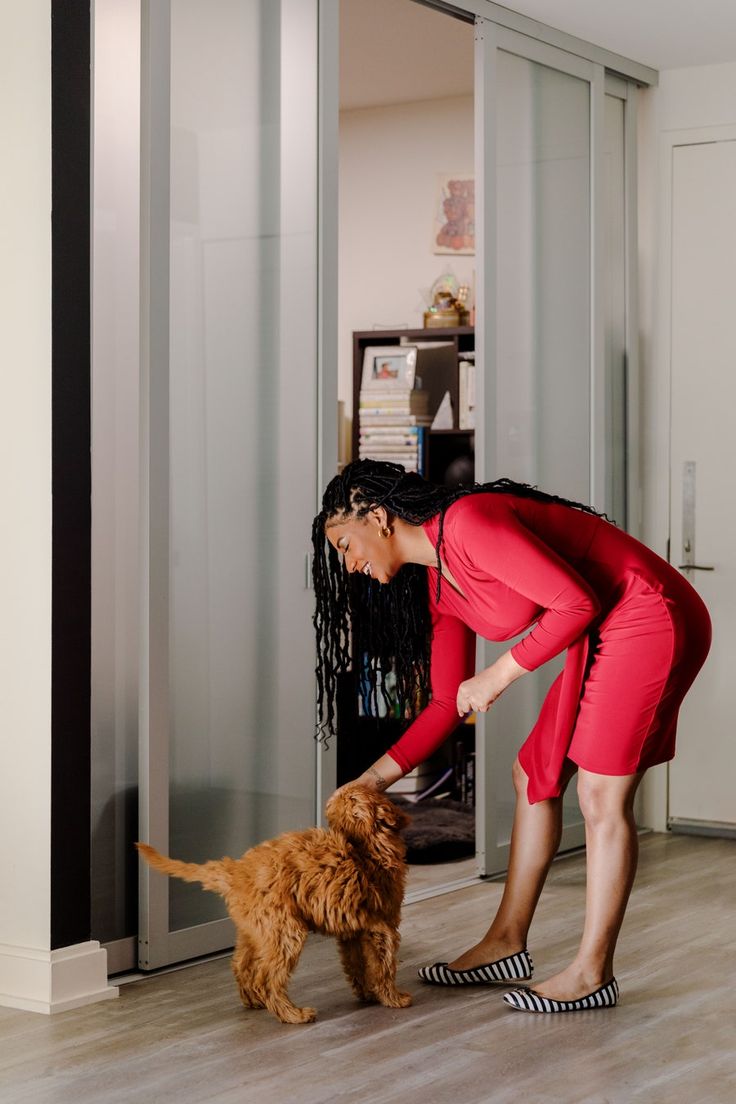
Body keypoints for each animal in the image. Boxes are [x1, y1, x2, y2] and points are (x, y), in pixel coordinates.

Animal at [136, 786, 414, 1024]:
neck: (364, 847)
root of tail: (237, 871)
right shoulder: (383, 928)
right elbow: (384, 966)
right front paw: (394, 998)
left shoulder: (354, 932)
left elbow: (357, 965)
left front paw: (367, 993)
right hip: (285, 930)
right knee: (268, 979)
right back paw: (293, 1014)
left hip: (256, 930)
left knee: (242, 965)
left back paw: (254, 1001)